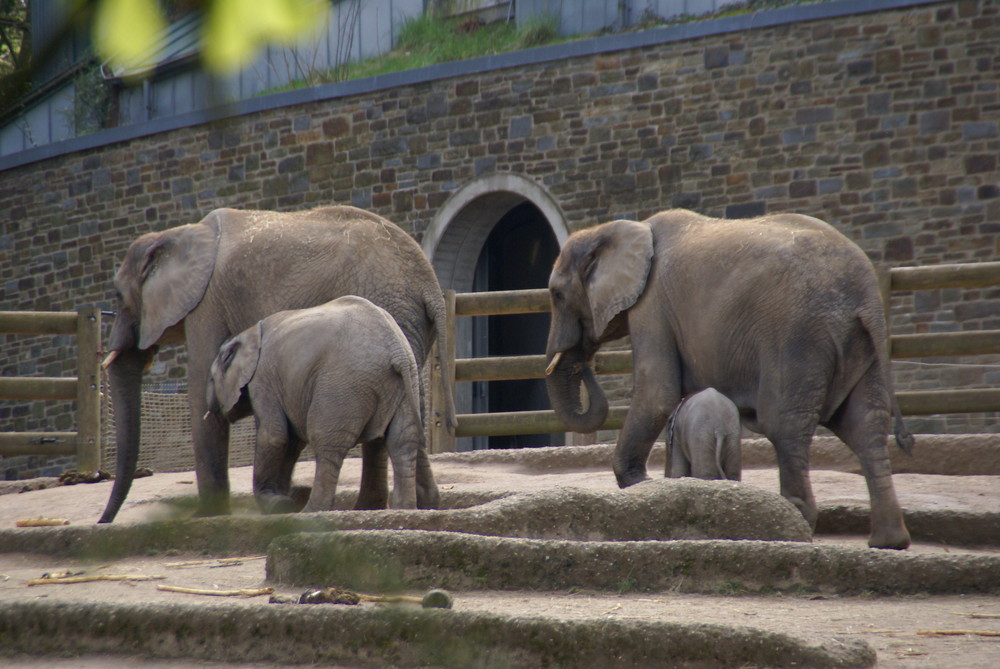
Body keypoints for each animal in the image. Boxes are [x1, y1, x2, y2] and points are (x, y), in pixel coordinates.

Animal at [205, 296, 436, 512]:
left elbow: (274, 436)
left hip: (341, 386)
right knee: (401, 441)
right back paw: (403, 508)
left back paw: (311, 511)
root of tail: (396, 349)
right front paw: (282, 503)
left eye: (211, 379)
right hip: (404, 383)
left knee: (327, 444)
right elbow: (292, 441)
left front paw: (277, 504)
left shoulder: (263, 380)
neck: (249, 334)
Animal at [548, 209, 916, 548]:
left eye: (555, 294)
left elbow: (657, 393)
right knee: (864, 424)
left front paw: (643, 486)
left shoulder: (652, 306)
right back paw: (889, 541)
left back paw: (795, 529)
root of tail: (865, 296)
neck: (621, 228)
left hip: (799, 336)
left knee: (786, 425)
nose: (585, 361)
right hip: (858, 344)